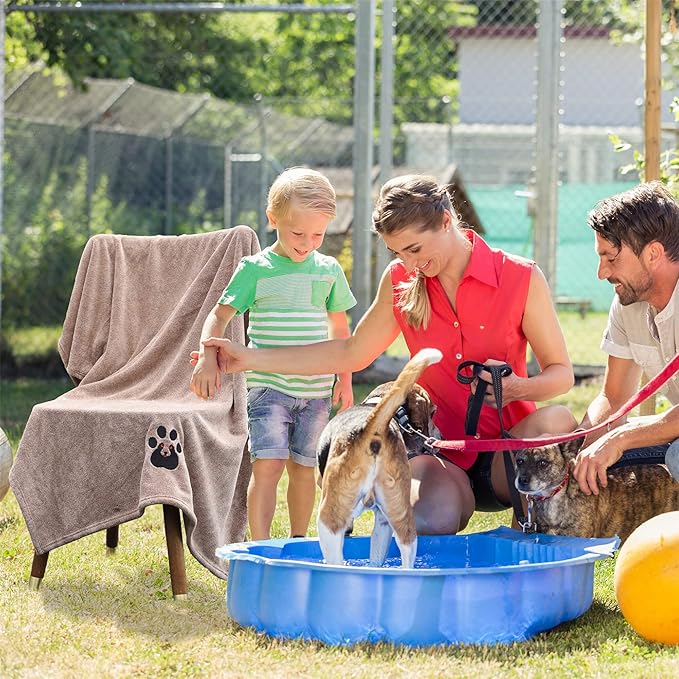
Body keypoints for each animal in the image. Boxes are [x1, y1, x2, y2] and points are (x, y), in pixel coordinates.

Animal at [318, 350, 444, 568]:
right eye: (433, 412)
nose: (441, 436)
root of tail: (374, 427)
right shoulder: (382, 522)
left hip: (328, 520)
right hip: (399, 515)